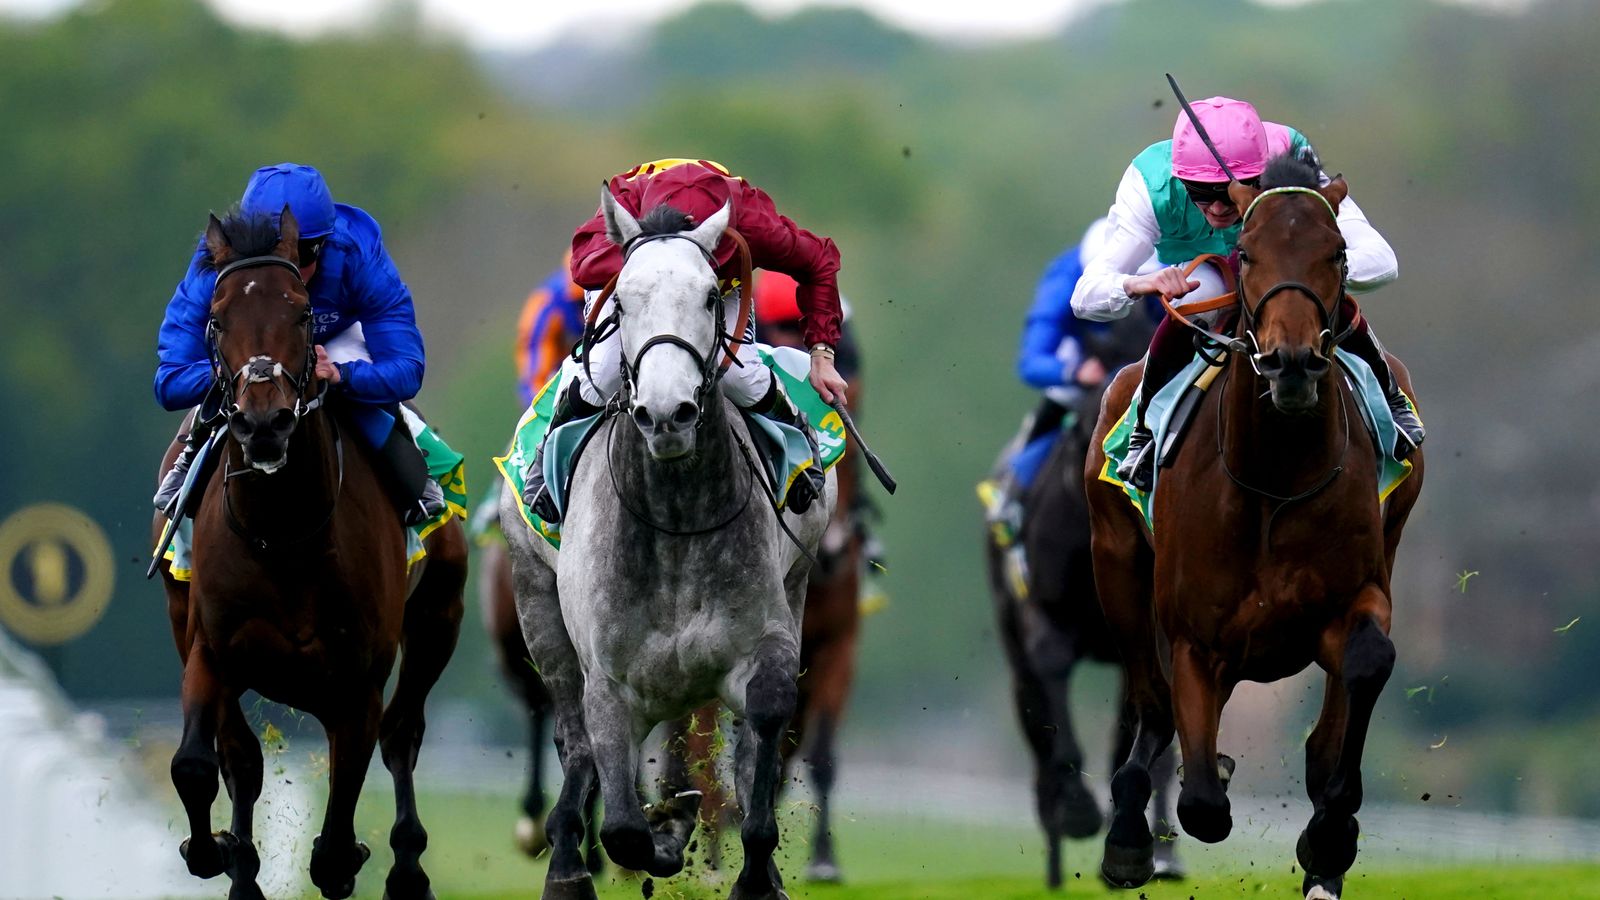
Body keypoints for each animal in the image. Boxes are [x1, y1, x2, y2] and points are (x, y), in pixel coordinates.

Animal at [153, 208, 467, 896]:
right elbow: (198, 764)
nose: (263, 423)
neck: (285, 533)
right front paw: (212, 850)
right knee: (240, 760)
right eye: (215, 317)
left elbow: (341, 824)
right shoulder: (210, 649)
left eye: (301, 313)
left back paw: (408, 865)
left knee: (401, 735)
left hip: (440, 614)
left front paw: (344, 855)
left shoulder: (357, 680)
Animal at [499, 190, 832, 896]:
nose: (666, 413)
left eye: (710, 295)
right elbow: (623, 824)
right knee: (572, 741)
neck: (676, 525)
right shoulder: (607, 678)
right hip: (538, 607)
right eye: (621, 302)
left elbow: (764, 722)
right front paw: (657, 835)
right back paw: (568, 863)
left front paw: (755, 870)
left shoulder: (763, 637)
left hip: (794, 589)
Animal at [1088, 156, 1427, 896]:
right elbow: (1202, 802)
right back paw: (1127, 832)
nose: (1290, 361)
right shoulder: (1193, 636)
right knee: (1153, 702)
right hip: (1117, 564)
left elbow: (1366, 666)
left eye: (1338, 252)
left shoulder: (1353, 598)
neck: (1274, 479)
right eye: (1245, 253)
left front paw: (1330, 838)